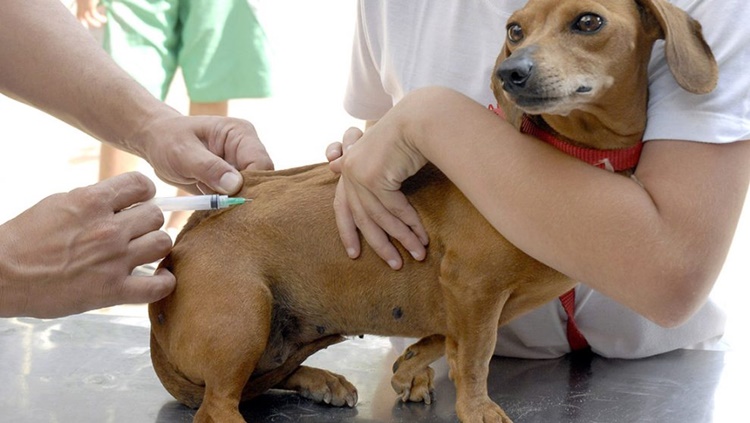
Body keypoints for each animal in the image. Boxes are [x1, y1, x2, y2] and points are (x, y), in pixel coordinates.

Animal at [147, 0, 716, 423]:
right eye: (514, 29)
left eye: (589, 21)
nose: (511, 72)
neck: (567, 155)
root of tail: (185, 237)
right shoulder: (473, 286)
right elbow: (475, 356)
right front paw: (478, 407)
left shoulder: (474, 300)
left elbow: (450, 340)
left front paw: (411, 366)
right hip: (245, 318)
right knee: (220, 402)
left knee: (261, 382)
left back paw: (321, 380)